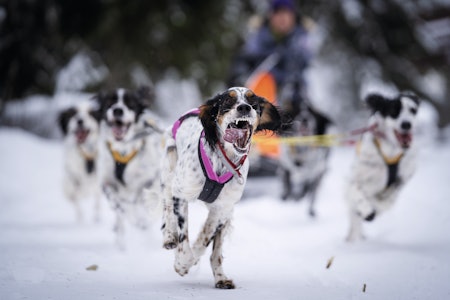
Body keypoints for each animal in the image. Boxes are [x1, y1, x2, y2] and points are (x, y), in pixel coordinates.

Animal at [96, 87, 163, 251]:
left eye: (130, 103)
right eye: (110, 102)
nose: (117, 110)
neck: (123, 150)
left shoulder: (149, 179)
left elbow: (142, 201)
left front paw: (141, 220)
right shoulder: (107, 181)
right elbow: (118, 204)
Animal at [160, 86, 286, 288]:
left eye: (253, 101)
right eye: (228, 100)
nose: (244, 107)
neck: (222, 159)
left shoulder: (222, 209)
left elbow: (205, 240)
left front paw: (192, 259)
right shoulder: (181, 193)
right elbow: (183, 235)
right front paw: (182, 262)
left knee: (215, 252)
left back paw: (220, 277)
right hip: (169, 169)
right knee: (167, 203)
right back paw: (169, 236)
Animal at [346, 91, 420, 241]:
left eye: (413, 110)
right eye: (393, 111)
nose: (406, 124)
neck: (391, 151)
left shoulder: (404, 175)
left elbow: (390, 198)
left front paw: (379, 206)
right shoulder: (355, 178)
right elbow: (357, 192)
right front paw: (368, 211)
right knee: (355, 221)